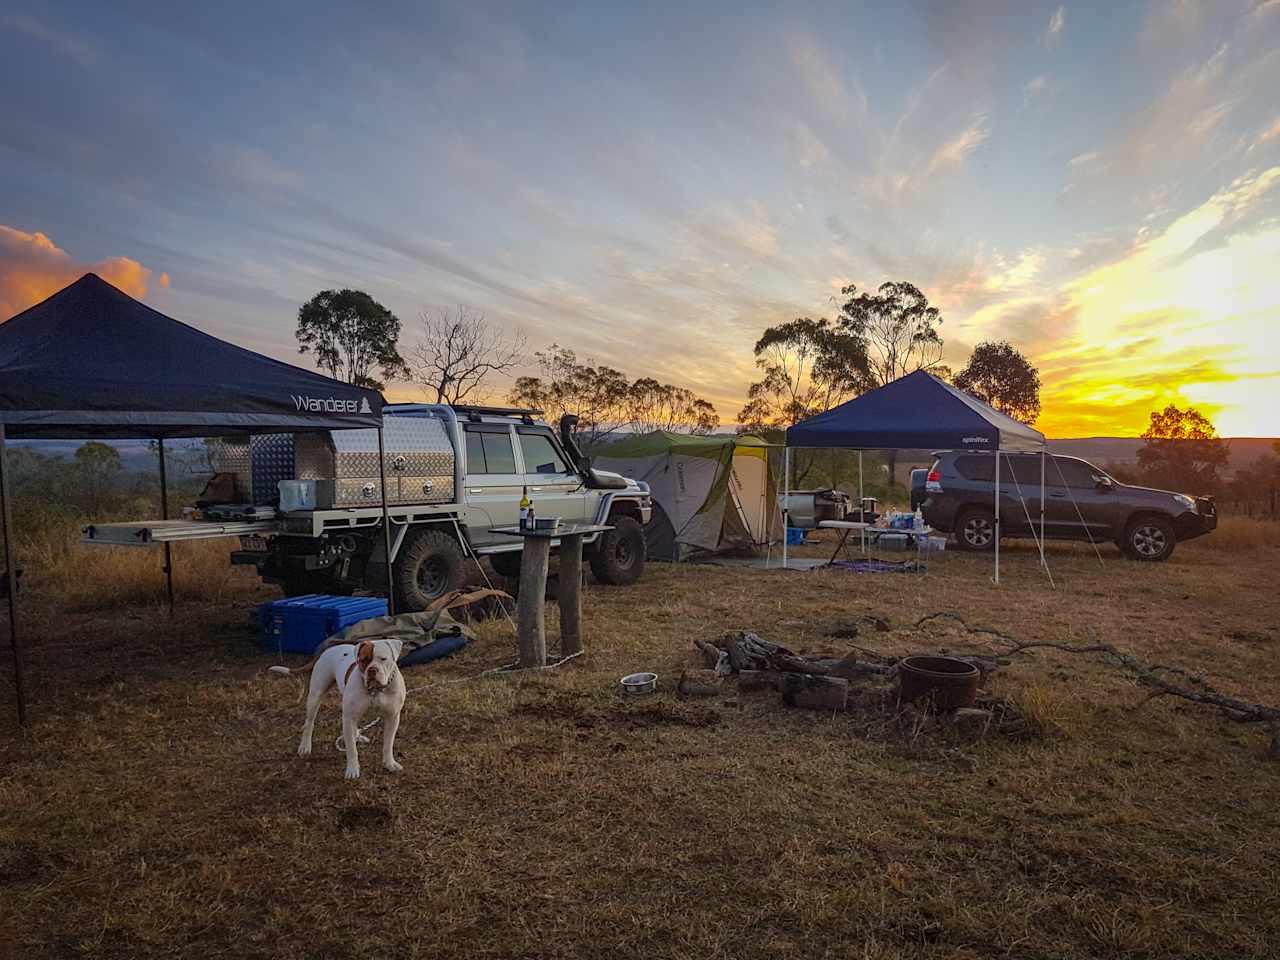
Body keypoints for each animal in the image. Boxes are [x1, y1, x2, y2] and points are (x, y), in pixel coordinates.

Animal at [270, 640, 404, 783]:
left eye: (383, 659)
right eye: (363, 660)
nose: (372, 670)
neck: (376, 690)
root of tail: (330, 647)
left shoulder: (392, 717)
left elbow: (388, 744)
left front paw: (389, 763)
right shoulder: (349, 717)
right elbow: (351, 749)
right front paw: (352, 769)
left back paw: (358, 736)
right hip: (315, 696)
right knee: (309, 722)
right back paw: (305, 746)